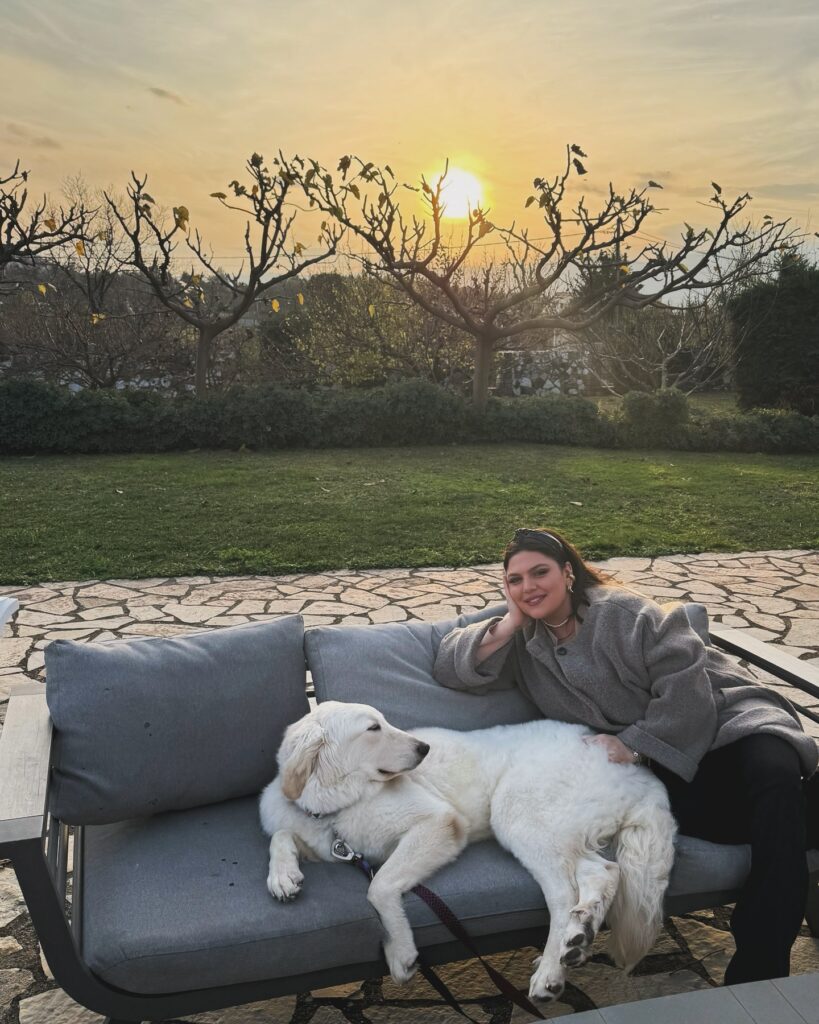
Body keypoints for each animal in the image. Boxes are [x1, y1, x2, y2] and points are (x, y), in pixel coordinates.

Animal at [259, 700, 677, 1002]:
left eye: (384, 721)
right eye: (373, 728)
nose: (424, 748)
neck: (335, 806)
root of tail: (640, 770)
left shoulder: (438, 823)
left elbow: (378, 886)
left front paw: (400, 952)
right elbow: (281, 835)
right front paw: (282, 876)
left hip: (516, 811)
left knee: (563, 893)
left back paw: (552, 971)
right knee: (602, 872)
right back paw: (578, 935)